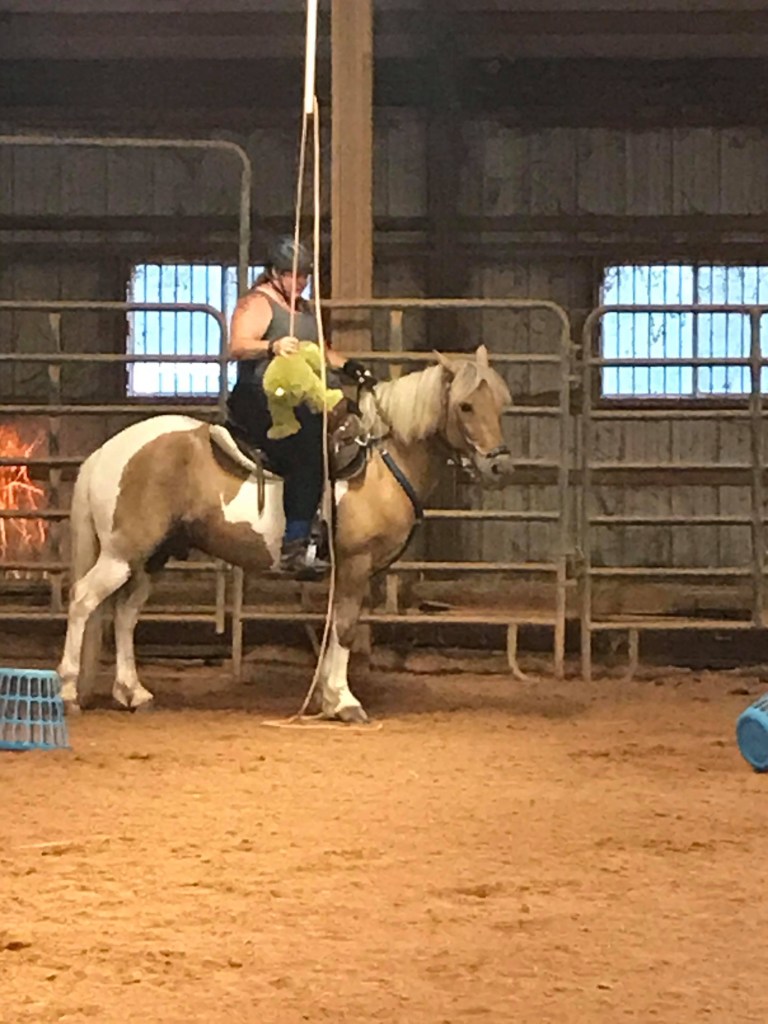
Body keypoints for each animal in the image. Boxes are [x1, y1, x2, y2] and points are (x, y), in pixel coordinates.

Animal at [57, 345, 515, 722]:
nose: (499, 466)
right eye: (466, 406)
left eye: (500, 404)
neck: (382, 458)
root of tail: (107, 451)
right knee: (84, 600)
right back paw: (67, 692)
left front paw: (327, 697)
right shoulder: (355, 564)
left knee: (125, 614)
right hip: (121, 554)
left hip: (151, 557)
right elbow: (345, 627)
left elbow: (333, 627)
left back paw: (133, 693)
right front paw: (344, 701)